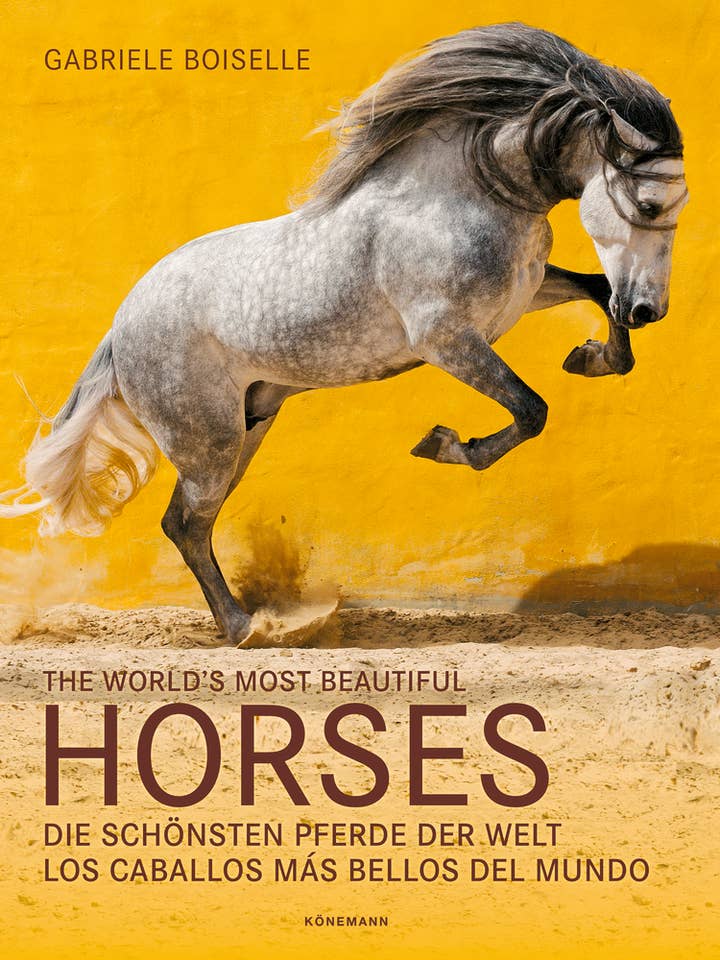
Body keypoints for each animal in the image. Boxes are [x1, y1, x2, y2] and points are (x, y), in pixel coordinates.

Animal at [0, 22, 688, 644]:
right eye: (649, 207)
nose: (650, 310)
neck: (465, 193)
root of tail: (121, 329)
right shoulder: (446, 339)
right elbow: (531, 409)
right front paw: (445, 444)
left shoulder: (521, 298)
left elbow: (597, 294)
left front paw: (592, 357)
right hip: (208, 441)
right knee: (185, 524)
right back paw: (247, 629)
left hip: (249, 424)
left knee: (188, 524)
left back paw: (246, 625)